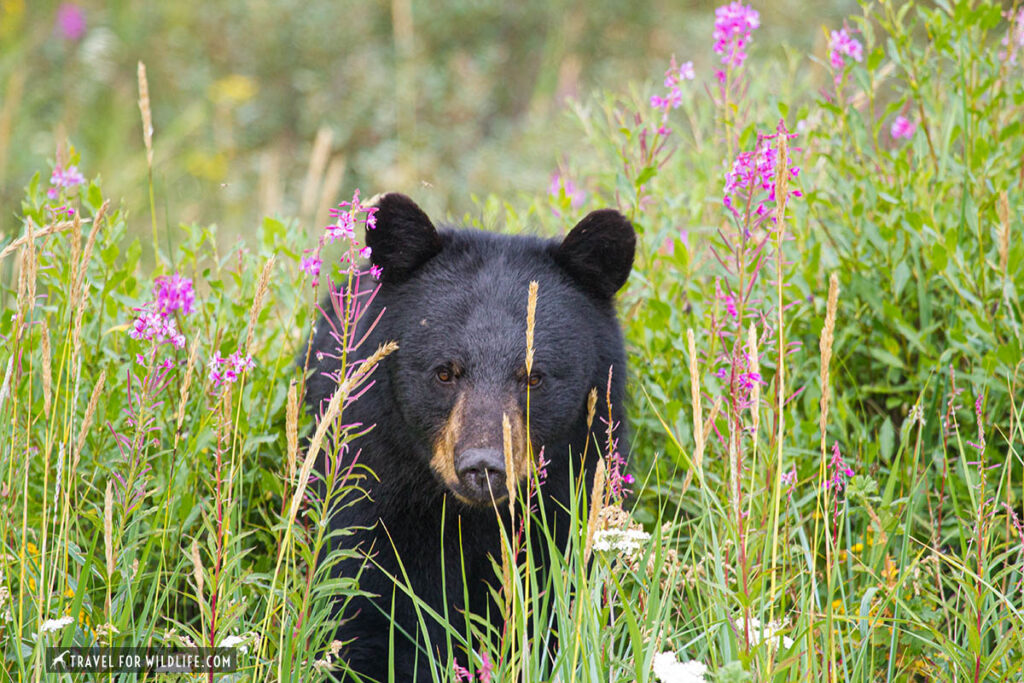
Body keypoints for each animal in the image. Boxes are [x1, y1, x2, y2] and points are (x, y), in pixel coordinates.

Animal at [301, 194, 630, 679]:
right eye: (444, 372)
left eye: (533, 378)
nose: (483, 466)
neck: (470, 518)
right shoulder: (374, 494)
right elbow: (366, 607)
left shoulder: (569, 502)